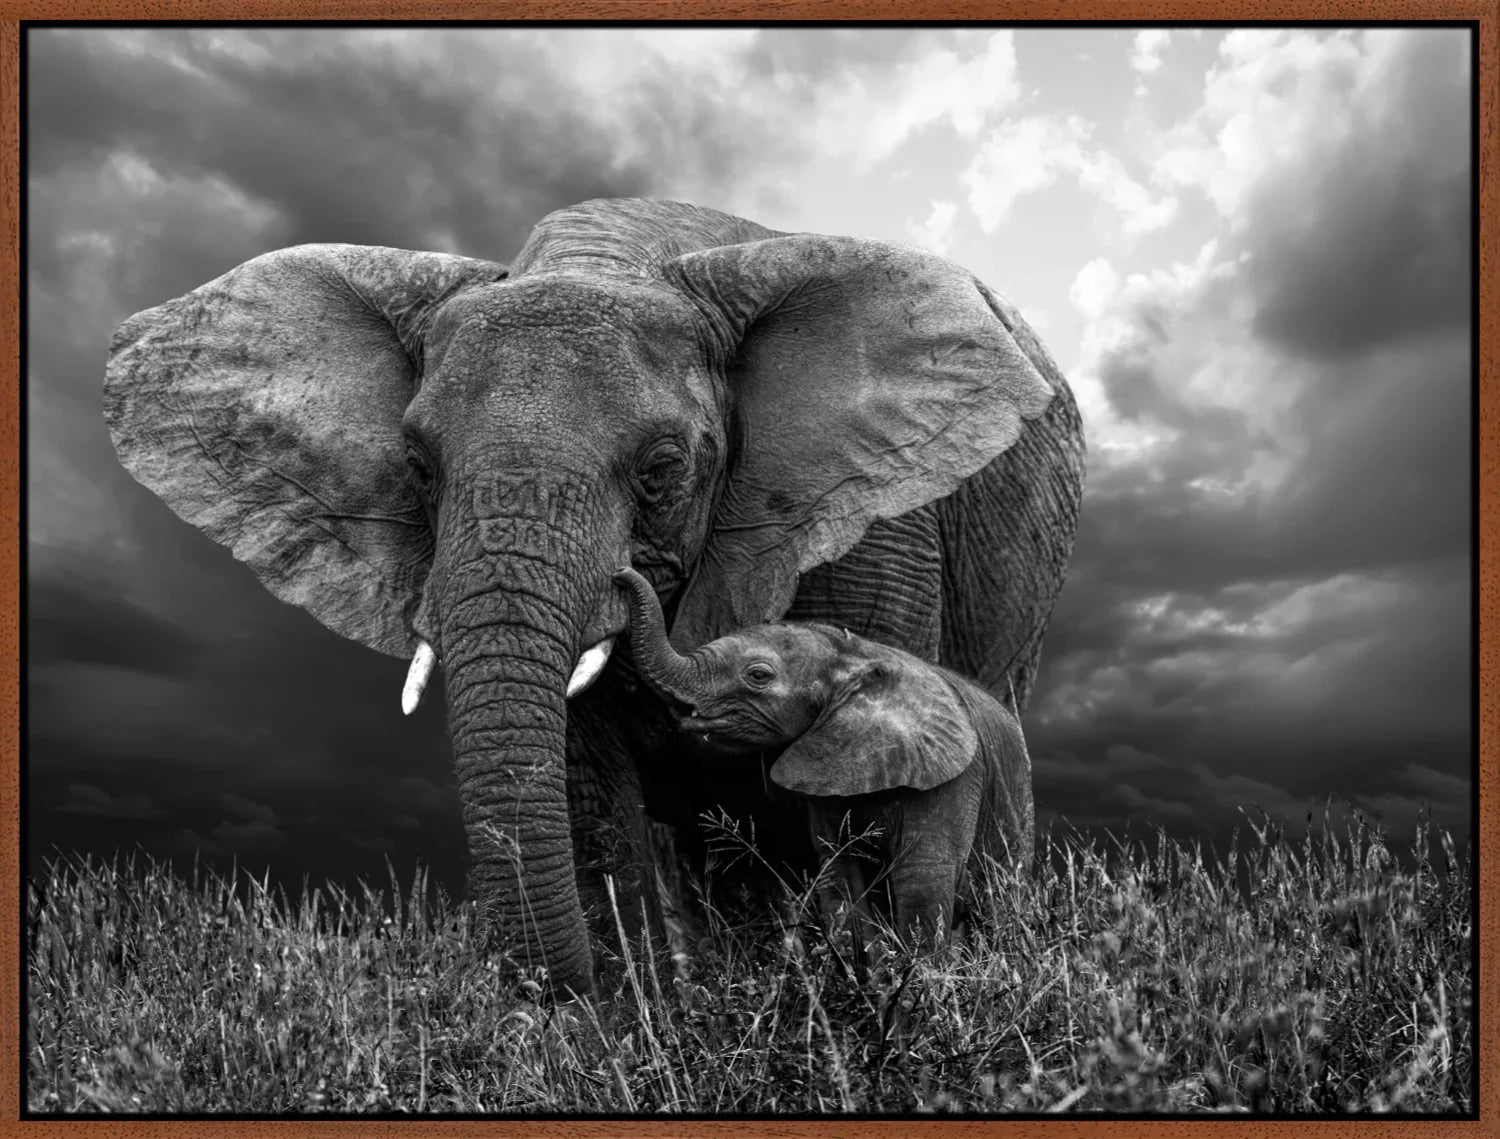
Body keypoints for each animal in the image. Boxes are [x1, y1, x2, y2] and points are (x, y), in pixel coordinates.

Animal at [615, 566, 1033, 956]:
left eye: (758, 675)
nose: (621, 573)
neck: (853, 658)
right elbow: (841, 878)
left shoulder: (953, 780)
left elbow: (923, 878)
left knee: (996, 908)